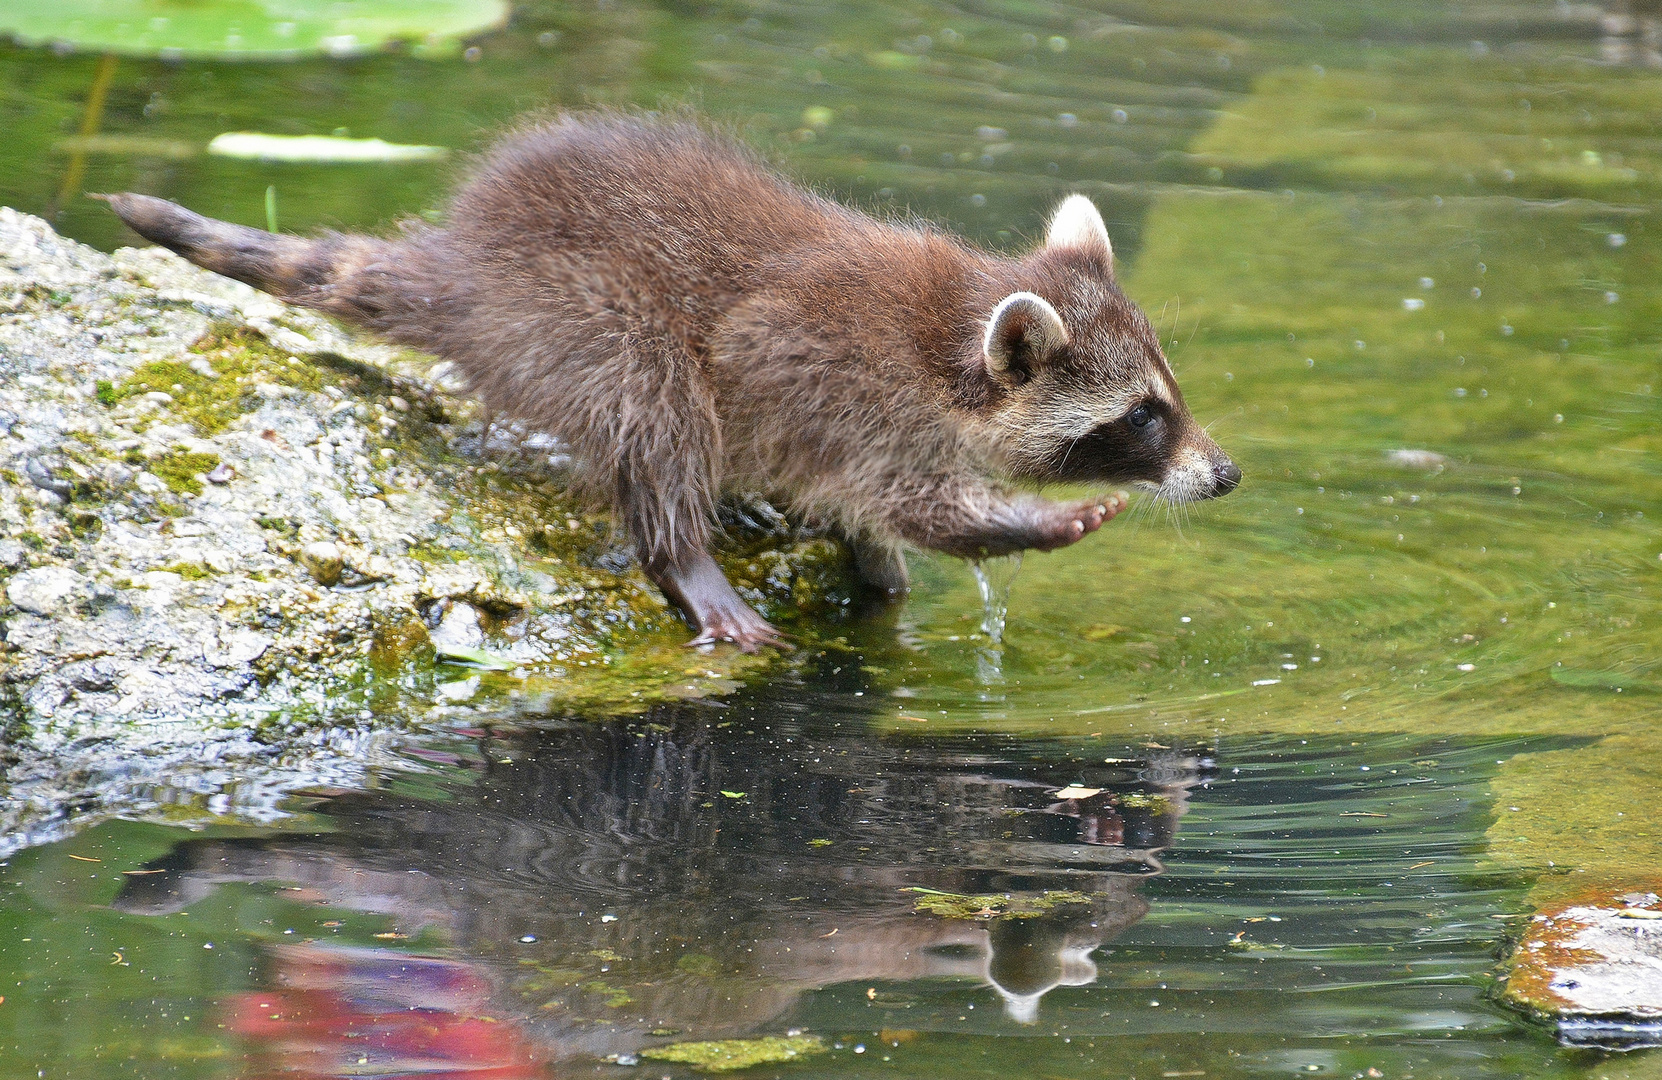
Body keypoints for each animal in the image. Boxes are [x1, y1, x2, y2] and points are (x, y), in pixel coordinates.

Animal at [97, 111, 1243, 648]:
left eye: (1170, 397)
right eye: (1145, 419)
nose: (1227, 475)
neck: (951, 332)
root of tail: (465, 263)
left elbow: (874, 514)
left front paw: (873, 562)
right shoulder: (842, 384)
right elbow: (918, 502)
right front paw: (1026, 523)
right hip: (585, 316)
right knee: (657, 415)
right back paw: (686, 558)